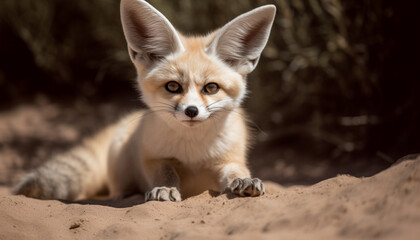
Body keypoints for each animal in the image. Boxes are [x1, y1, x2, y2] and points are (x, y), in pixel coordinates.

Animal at [12, 0, 276, 202]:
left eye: (211, 88)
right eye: (173, 86)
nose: (191, 111)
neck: (193, 151)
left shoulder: (229, 158)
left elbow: (235, 172)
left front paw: (243, 181)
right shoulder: (153, 158)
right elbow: (166, 174)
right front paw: (165, 189)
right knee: (117, 189)